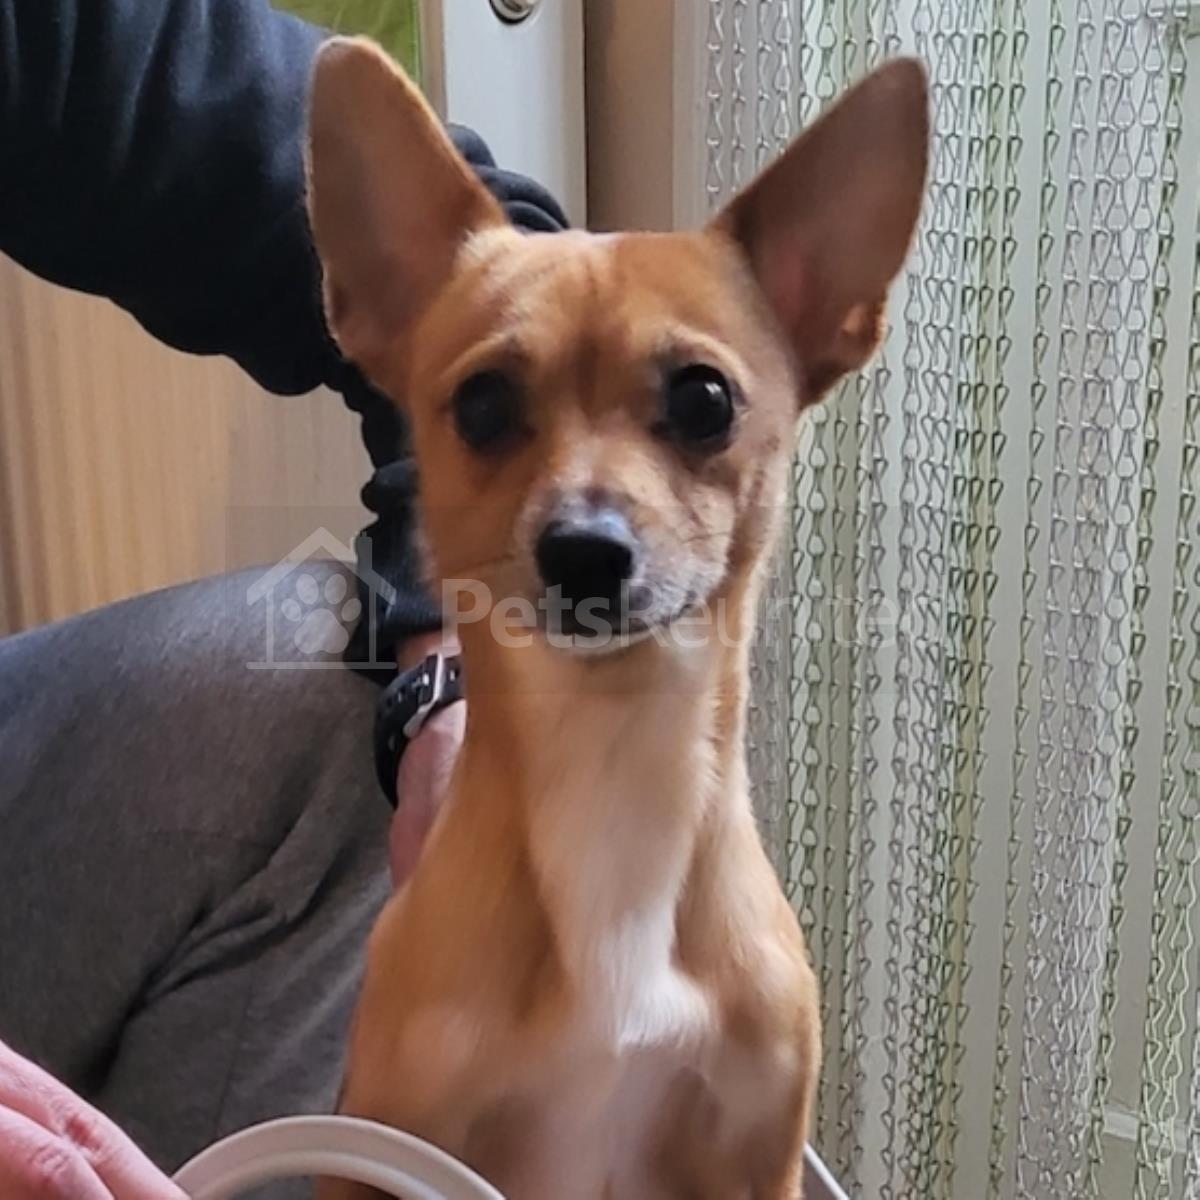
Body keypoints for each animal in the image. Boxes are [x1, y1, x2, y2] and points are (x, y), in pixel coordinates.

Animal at [306, 37, 927, 1200]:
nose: (586, 549)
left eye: (706, 400)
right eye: (483, 404)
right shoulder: (394, 1150)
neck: (611, 749)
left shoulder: (757, 1157)